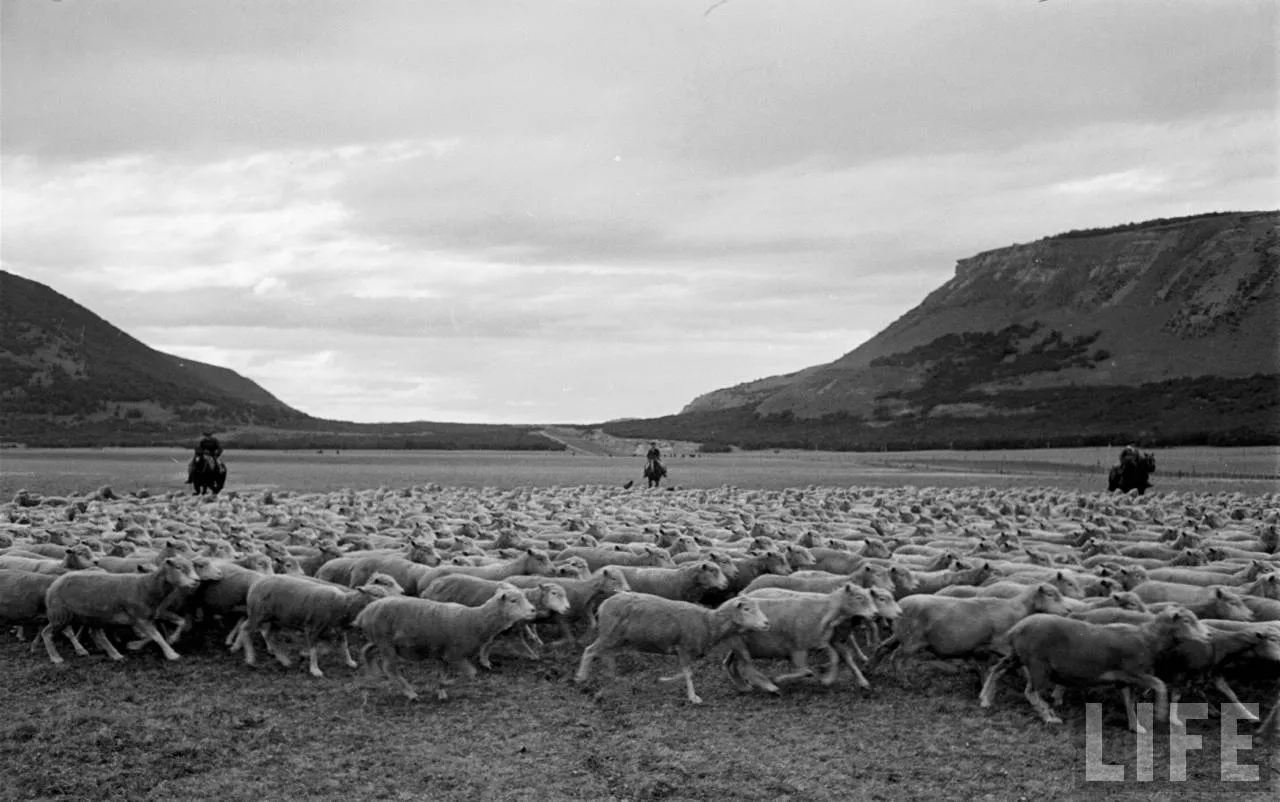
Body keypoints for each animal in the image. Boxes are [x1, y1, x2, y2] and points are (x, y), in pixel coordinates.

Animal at [39, 556, 203, 664]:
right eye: (179, 568)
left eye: (192, 566)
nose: (197, 581)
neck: (145, 586)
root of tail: (54, 584)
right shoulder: (140, 617)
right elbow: (157, 636)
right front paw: (171, 654)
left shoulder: (147, 618)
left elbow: (169, 628)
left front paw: (169, 640)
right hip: (60, 614)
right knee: (46, 633)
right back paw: (56, 657)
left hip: (91, 616)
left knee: (96, 634)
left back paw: (114, 654)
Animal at [234, 573, 403, 678]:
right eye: (376, 594)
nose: (392, 601)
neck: (343, 604)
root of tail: (256, 582)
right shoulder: (312, 627)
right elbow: (314, 650)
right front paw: (314, 669)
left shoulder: (338, 630)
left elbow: (343, 647)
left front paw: (349, 662)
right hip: (258, 613)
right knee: (246, 629)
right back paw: (250, 658)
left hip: (277, 619)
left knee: (269, 635)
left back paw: (283, 659)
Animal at [355, 586, 538, 700]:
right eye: (513, 601)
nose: (533, 610)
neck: (475, 620)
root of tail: (365, 612)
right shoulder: (454, 655)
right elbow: (471, 673)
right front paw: (444, 685)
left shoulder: (443, 655)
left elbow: (442, 673)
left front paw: (441, 690)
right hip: (385, 643)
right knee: (389, 668)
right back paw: (410, 693)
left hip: (380, 641)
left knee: (366, 651)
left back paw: (373, 675)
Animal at [575, 592, 771, 705]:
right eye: (747, 609)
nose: (767, 623)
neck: (708, 623)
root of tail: (603, 604)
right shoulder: (683, 648)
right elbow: (689, 673)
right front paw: (693, 697)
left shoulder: (686, 651)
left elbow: (685, 672)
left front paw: (664, 680)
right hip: (609, 635)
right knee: (590, 650)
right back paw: (582, 677)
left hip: (617, 639)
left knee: (607, 655)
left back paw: (613, 676)